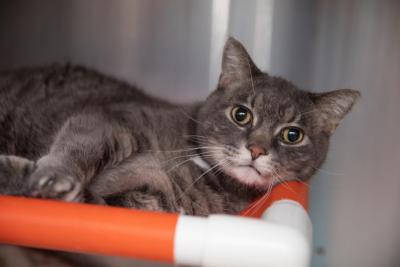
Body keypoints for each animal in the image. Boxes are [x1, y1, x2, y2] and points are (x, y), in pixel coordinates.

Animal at [0, 38, 360, 218]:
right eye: (241, 114)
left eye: (292, 135)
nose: (256, 150)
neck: (200, 169)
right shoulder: (108, 121)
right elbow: (77, 147)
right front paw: (51, 176)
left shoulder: (138, 201)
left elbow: (92, 199)